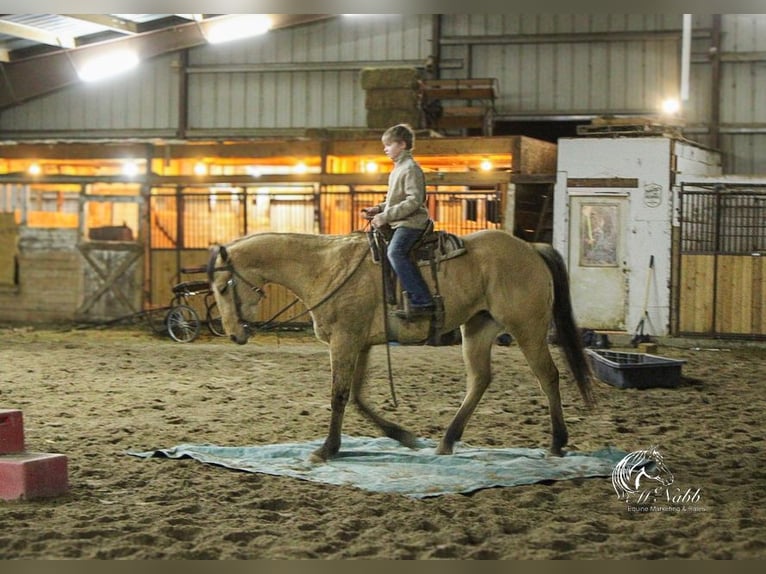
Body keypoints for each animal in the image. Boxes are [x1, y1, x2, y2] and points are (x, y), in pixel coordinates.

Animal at [207, 228, 596, 464]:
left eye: (223, 287)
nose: (234, 334)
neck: (325, 269)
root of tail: (530, 248)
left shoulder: (344, 340)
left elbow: (339, 396)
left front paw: (326, 449)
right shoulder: (360, 343)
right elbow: (357, 397)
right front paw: (403, 436)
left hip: (526, 328)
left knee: (548, 376)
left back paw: (556, 443)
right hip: (478, 327)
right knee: (480, 380)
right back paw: (447, 441)